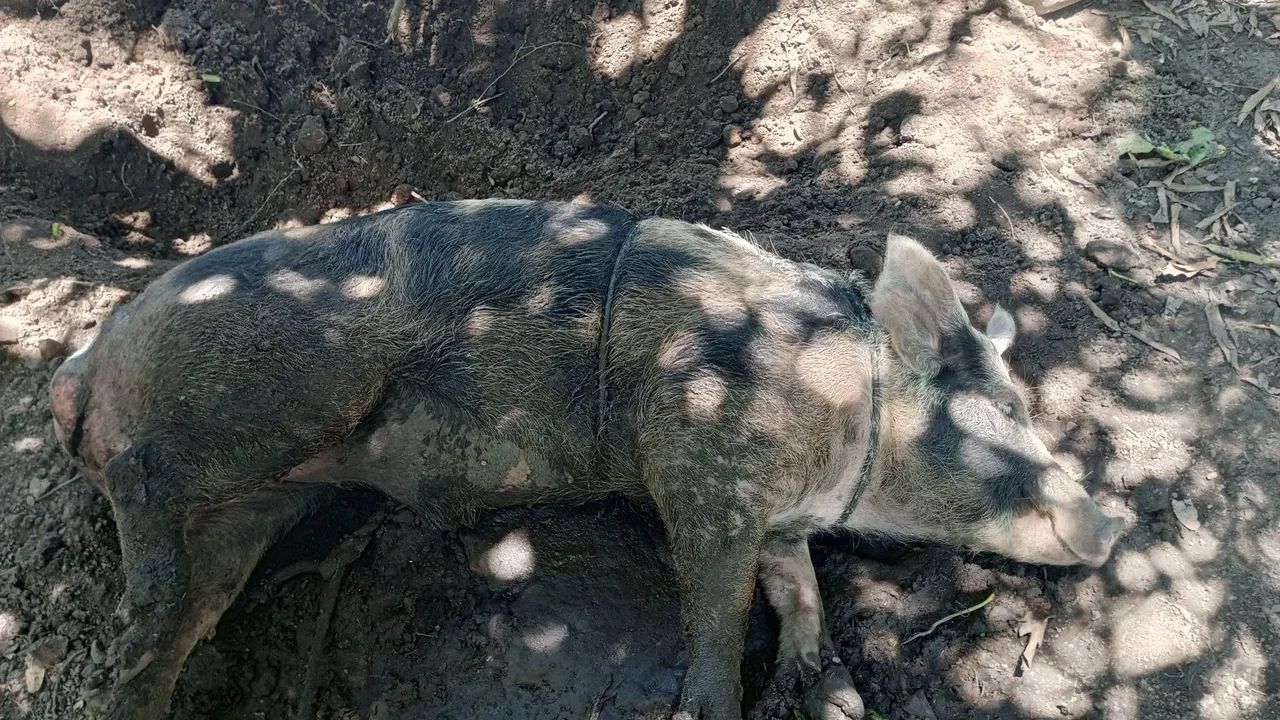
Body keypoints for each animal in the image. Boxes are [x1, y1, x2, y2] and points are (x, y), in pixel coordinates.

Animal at [49, 199, 1124, 720]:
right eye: (998, 412)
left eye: (1025, 405)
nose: (1112, 520)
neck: (835, 404)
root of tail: (89, 356)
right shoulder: (700, 466)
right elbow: (715, 603)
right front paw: (714, 706)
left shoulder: (781, 518)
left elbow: (798, 586)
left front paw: (818, 680)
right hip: (289, 390)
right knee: (144, 479)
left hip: (247, 513)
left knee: (176, 621)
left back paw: (138, 683)